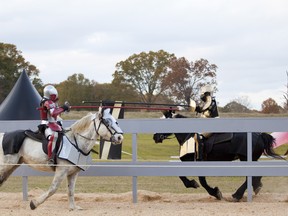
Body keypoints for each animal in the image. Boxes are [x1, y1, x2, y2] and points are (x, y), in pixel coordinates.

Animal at [153, 110, 282, 202]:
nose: (155, 137)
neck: (189, 136)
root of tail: (259, 135)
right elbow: (183, 176)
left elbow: (201, 181)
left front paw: (214, 192)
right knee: (255, 176)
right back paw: (255, 187)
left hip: (246, 159)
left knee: (251, 176)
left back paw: (237, 195)